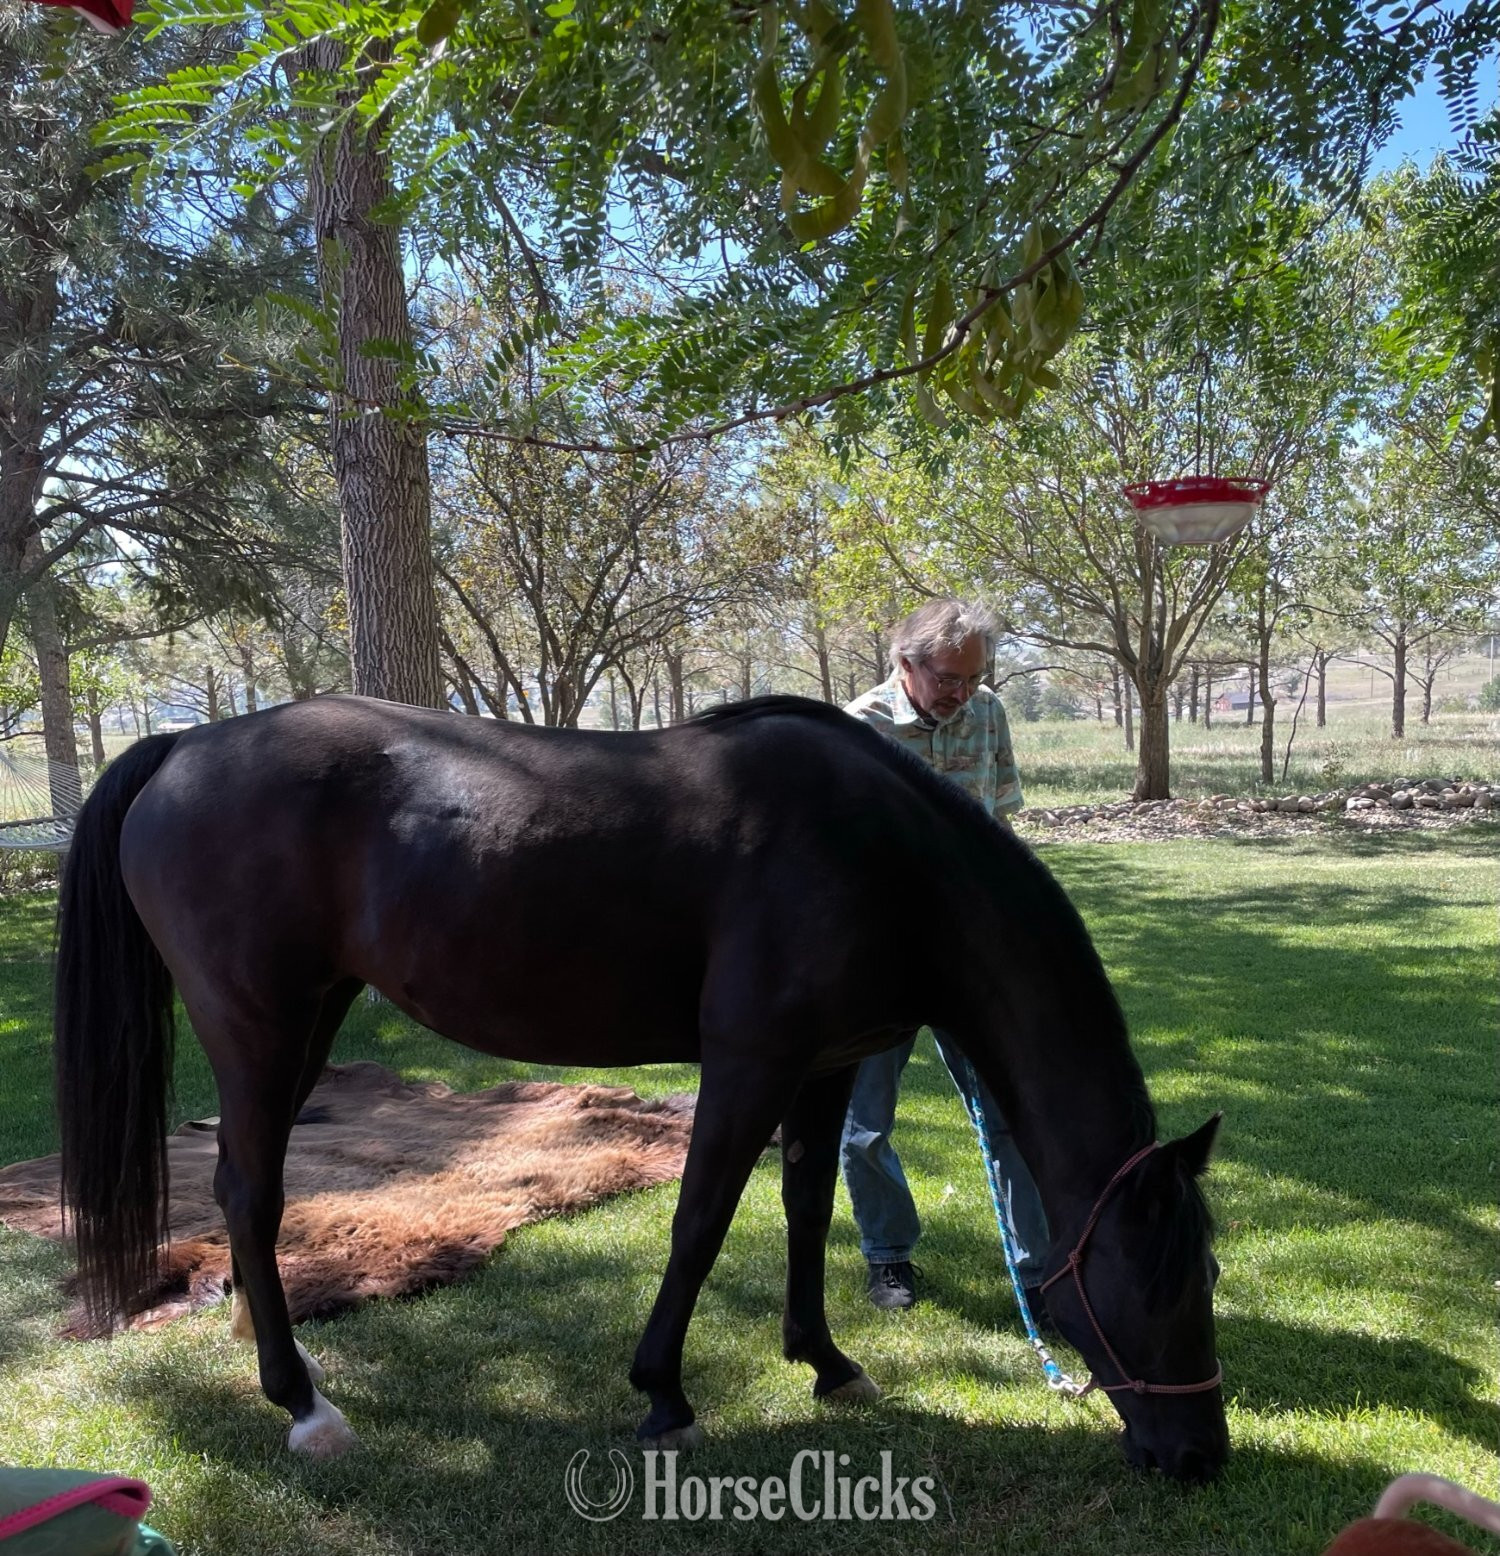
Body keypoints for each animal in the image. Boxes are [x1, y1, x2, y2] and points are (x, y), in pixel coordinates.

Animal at [53, 693, 1228, 1480]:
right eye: (1158, 1281)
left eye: (1206, 1273)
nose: (1199, 1455)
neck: (887, 860)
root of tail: (182, 746)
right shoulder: (750, 1061)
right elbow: (700, 1219)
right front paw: (664, 1394)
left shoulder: (827, 1063)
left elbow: (807, 1207)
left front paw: (826, 1360)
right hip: (258, 1027)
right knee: (249, 1193)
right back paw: (303, 1403)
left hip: (312, 1021)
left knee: (244, 1190)